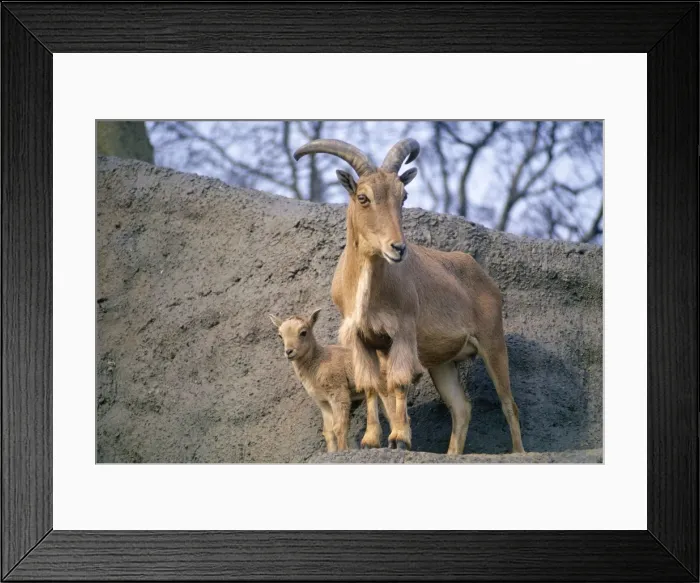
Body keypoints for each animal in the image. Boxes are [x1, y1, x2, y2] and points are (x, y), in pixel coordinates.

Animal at [269, 308, 394, 452]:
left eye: (303, 332)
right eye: (280, 335)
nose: (289, 351)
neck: (317, 365)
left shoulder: (339, 394)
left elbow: (339, 427)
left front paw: (343, 450)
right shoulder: (323, 402)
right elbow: (328, 431)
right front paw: (332, 451)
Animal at [293, 138, 525, 454]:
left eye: (403, 196)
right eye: (363, 197)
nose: (398, 248)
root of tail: (485, 279)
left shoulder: (401, 331)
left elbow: (399, 382)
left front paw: (400, 438)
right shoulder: (362, 339)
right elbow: (372, 386)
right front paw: (371, 440)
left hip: (492, 340)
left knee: (508, 403)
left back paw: (519, 452)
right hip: (442, 362)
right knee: (461, 407)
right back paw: (451, 454)